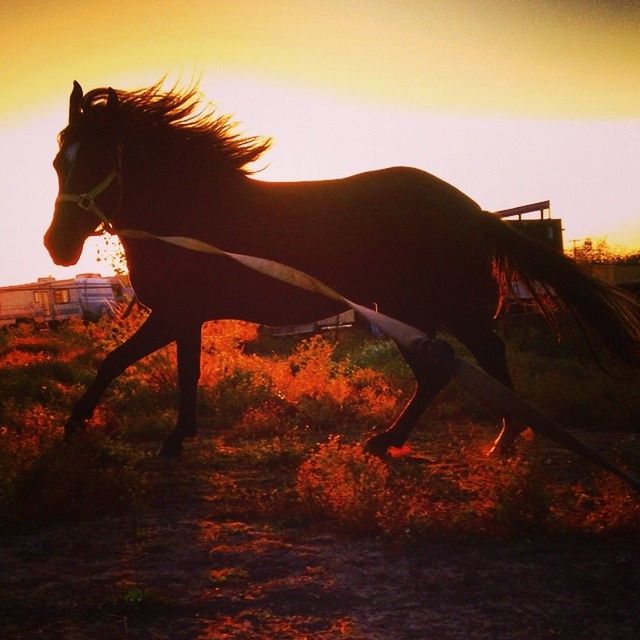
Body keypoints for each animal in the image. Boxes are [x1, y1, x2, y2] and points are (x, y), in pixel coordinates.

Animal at [43, 81, 640, 460]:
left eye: (97, 159)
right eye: (57, 162)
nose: (57, 247)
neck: (191, 215)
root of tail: (469, 208)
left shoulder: (175, 313)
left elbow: (118, 363)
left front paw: (78, 429)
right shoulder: (185, 317)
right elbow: (177, 373)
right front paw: (171, 437)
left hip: (419, 307)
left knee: (450, 368)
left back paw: (400, 441)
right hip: (422, 309)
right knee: (477, 360)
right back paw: (499, 437)